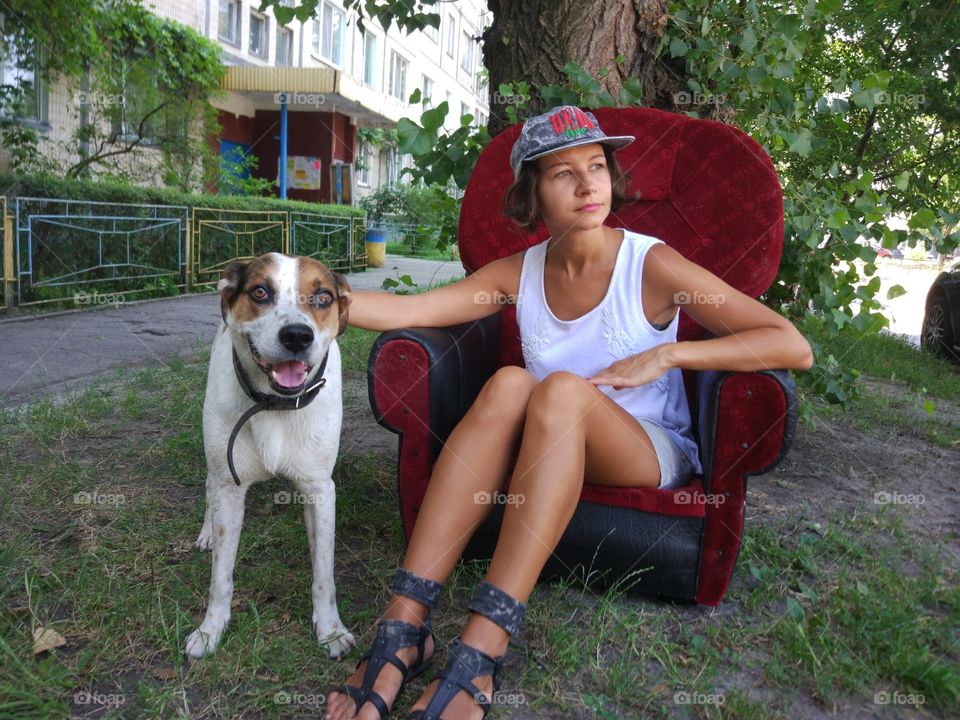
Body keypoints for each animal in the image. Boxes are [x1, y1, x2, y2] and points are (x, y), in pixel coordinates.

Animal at [185, 252, 356, 660]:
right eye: (260, 291)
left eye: (323, 297)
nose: (297, 335)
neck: (275, 405)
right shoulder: (229, 486)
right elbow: (220, 575)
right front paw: (210, 630)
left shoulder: (320, 490)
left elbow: (324, 573)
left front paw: (330, 630)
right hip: (216, 458)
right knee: (209, 485)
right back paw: (206, 533)